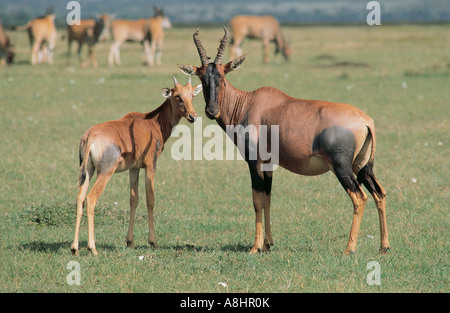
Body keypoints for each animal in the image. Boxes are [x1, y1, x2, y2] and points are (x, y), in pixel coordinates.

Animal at [70, 77, 202, 255]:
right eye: (177, 96)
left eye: (192, 95)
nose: (193, 116)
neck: (151, 122)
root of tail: (91, 135)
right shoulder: (150, 166)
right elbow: (150, 199)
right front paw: (153, 242)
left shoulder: (134, 168)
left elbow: (133, 199)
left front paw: (130, 241)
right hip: (105, 172)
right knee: (91, 199)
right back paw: (93, 248)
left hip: (88, 171)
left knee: (80, 198)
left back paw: (74, 248)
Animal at [178, 28, 388, 255]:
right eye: (201, 77)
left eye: (222, 76)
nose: (211, 111)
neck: (249, 103)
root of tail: (365, 120)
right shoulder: (268, 164)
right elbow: (267, 199)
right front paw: (268, 244)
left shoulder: (254, 161)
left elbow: (257, 200)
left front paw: (255, 247)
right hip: (362, 166)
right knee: (379, 193)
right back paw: (383, 246)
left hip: (342, 167)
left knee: (359, 198)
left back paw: (349, 249)